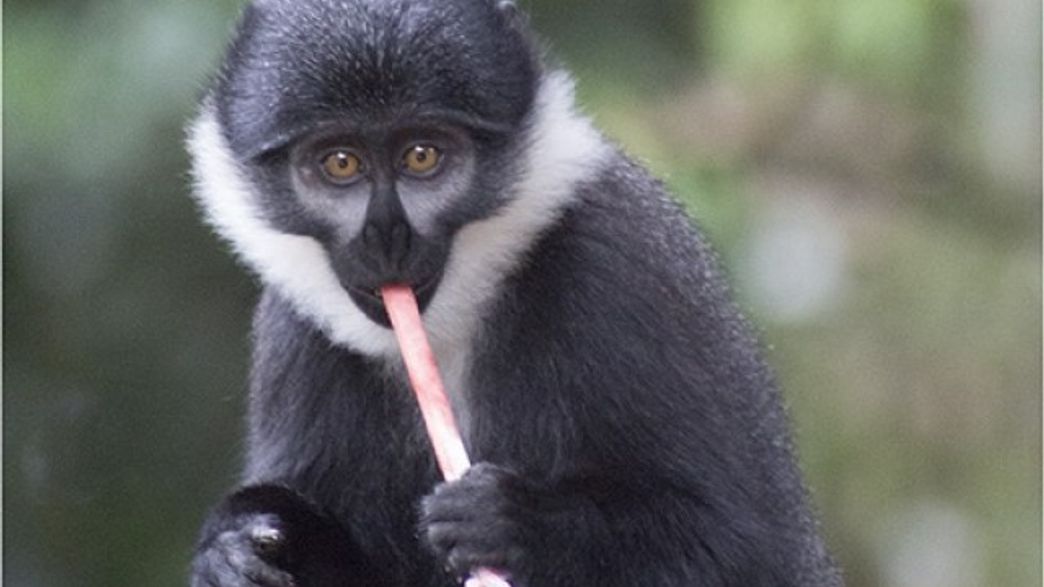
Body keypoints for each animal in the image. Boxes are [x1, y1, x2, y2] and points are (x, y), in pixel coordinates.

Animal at [185, 0, 842, 586]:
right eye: (340, 163)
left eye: (421, 155)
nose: (385, 234)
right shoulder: (291, 332)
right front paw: (233, 549)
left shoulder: (617, 265)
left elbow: (737, 549)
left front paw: (514, 521)